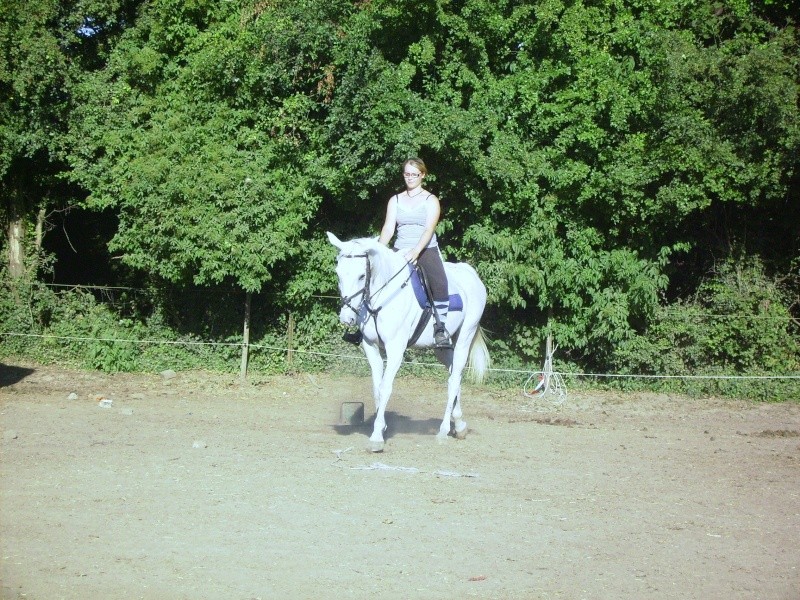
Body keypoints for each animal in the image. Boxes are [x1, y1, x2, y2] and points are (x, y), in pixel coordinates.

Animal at [324, 232, 488, 452]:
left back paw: (443, 431)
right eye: (339, 274)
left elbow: (386, 387)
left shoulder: (395, 349)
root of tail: (470, 273)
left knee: (453, 381)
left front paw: (377, 437)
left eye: (361, 276)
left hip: (464, 338)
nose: (346, 318)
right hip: (442, 348)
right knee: (456, 375)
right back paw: (460, 425)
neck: (383, 296)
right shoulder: (371, 347)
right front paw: (382, 426)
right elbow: (377, 387)